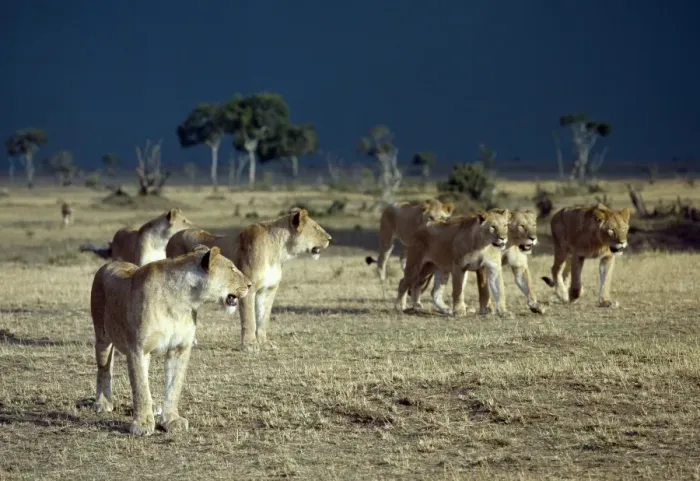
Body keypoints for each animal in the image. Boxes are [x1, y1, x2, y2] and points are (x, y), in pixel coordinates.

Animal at [89, 245, 252, 436]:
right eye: (232, 268)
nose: (250, 284)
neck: (182, 302)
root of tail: (110, 263)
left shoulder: (179, 348)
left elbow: (174, 387)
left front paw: (171, 420)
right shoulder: (137, 349)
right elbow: (140, 388)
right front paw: (142, 423)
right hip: (102, 337)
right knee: (104, 369)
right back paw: (103, 402)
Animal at [166, 208, 332, 352]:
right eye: (316, 228)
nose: (330, 238)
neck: (279, 252)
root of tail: (173, 237)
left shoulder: (269, 290)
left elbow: (263, 318)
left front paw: (264, 343)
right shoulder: (249, 289)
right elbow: (249, 319)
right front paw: (250, 345)